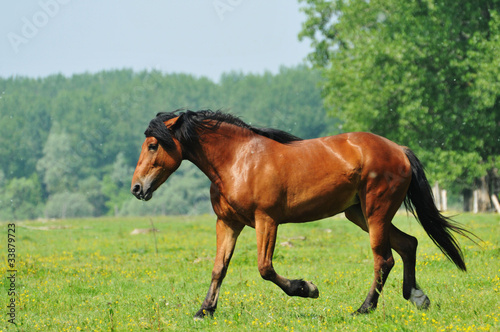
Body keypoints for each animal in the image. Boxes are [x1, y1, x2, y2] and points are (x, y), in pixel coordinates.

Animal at [131, 109, 470, 320]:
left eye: (153, 145)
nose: (137, 188)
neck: (238, 161)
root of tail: (399, 150)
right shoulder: (227, 223)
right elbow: (219, 269)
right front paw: (204, 311)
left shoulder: (266, 220)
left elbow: (265, 268)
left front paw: (307, 289)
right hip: (359, 214)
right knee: (408, 244)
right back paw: (417, 297)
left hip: (376, 212)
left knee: (384, 259)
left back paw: (363, 309)